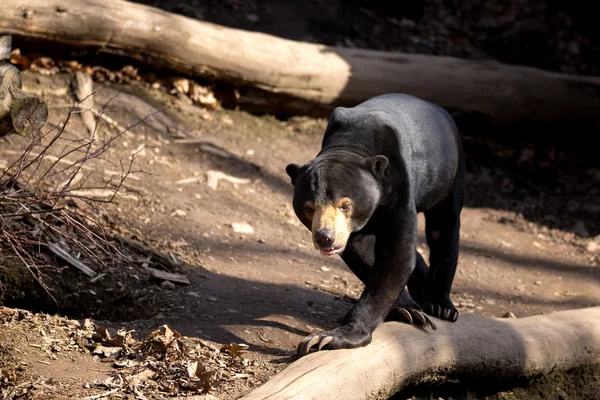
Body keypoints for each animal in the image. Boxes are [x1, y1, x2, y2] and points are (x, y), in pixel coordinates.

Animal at [286, 93, 464, 356]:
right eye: (309, 207)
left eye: (345, 204)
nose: (325, 238)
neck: (353, 144)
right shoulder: (351, 231)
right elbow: (363, 253)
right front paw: (408, 310)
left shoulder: (399, 187)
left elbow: (397, 256)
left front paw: (329, 338)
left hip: (450, 173)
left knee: (444, 227)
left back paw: (441, 305)